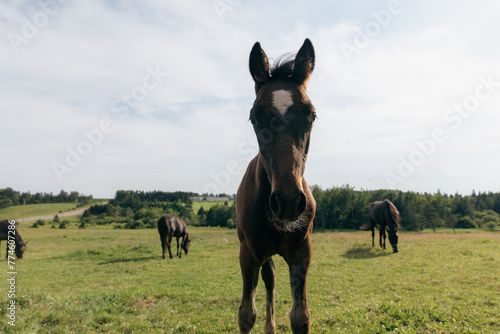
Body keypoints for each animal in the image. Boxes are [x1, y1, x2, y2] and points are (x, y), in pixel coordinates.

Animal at [235, 39, 314, 334]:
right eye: (254, 118)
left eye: (311, 116)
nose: (288, 202)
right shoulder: (248, 253)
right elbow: (246, 314)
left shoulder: (302, 252)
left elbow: (300, 316)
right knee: (268, 278)